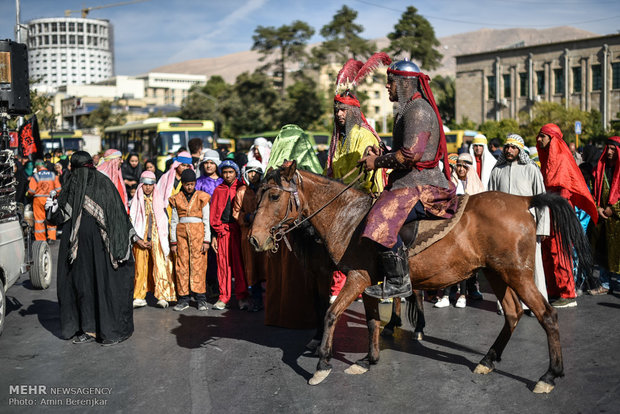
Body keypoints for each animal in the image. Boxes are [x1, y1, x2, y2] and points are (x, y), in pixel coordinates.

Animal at [249, 160, 592, 392]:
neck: (348, 218)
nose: (255, 239)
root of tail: (523, 200)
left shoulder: (356, 279)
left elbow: (331, 313)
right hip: (495, 272)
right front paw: (368, 361)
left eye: (274, 197)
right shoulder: (368, 282)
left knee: (546, 315)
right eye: (260, 194)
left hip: (517, 273)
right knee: (512, 314)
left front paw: (322, 364)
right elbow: (372, 321)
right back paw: (488, 360)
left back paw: (549, 375)